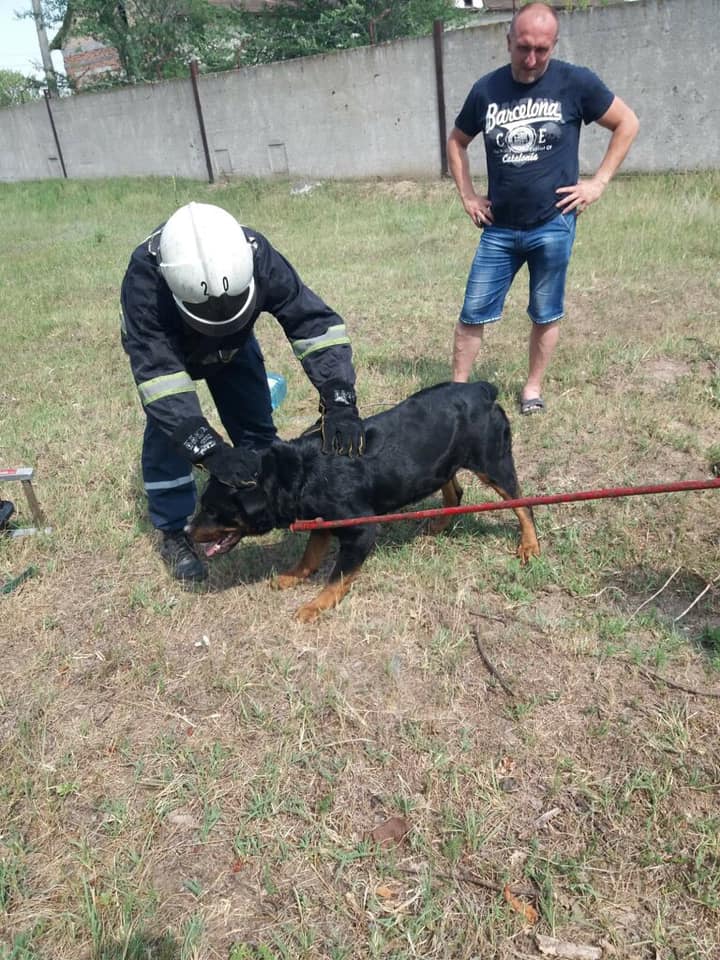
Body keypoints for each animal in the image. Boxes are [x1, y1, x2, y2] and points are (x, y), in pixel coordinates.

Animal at [187, 382, 540, 624]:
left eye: (212, 510)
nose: (188, 531)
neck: (298, 474)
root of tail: (483, 389)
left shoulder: (360, 530)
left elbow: (337, 577)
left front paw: (314, 606)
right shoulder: (321, 522)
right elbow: (309, 556)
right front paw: (292, 576)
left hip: (492, 463)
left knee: (523, 504)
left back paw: (529, 545)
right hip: (443, 463)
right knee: (454, 491)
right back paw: (438, 525)